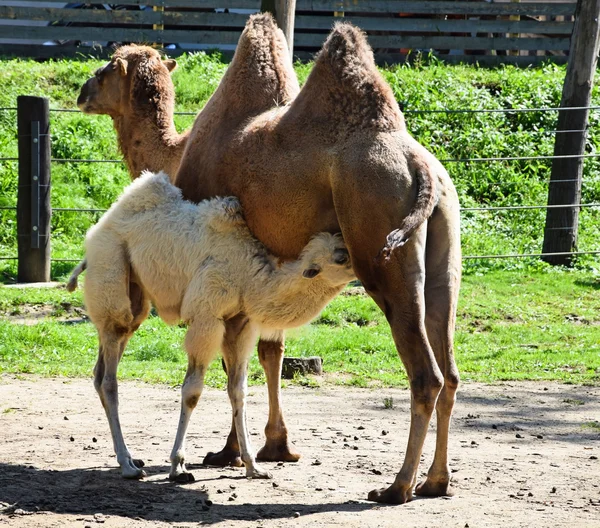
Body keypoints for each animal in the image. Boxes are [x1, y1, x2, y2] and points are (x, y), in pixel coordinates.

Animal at [75, 23, 304, 466]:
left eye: (108, 68)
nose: (82, 91)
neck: (172, 153)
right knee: (273, 348)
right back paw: (277, 444)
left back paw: (232, 450)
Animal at [75, 171, 356, 480]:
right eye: (341, 257)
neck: (249, 275)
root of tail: (94, 234)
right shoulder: (207, 316)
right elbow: (192, 391)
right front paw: (178, 465)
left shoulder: (240, 323)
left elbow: (238, 391)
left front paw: (253, 466)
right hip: (111, 273)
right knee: (109, 377)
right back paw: (127, 464)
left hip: (135, 297)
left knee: (103, 367)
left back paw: (130, 459)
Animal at [171, 15, 462, 504]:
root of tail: (419, 166)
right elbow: (253, 357)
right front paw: (257, 452)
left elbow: (234, 366)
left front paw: (230, 455)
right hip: (445, 248)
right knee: (451, 367)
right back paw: (435, 482)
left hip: (380, 240)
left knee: (427, 375)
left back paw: (396, 486)